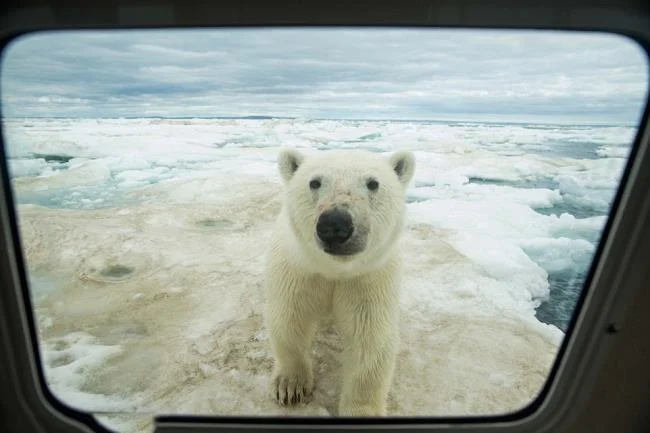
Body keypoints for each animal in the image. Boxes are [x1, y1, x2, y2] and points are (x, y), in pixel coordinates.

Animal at [265, 148, 416, 416]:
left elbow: (370, 340)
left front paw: (362, 411)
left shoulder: (368, 279)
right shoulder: (298, 270)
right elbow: (290, 320)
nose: (335, 224)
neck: (335, 270)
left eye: (373, 183)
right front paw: (291, 386)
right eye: (314, 182)